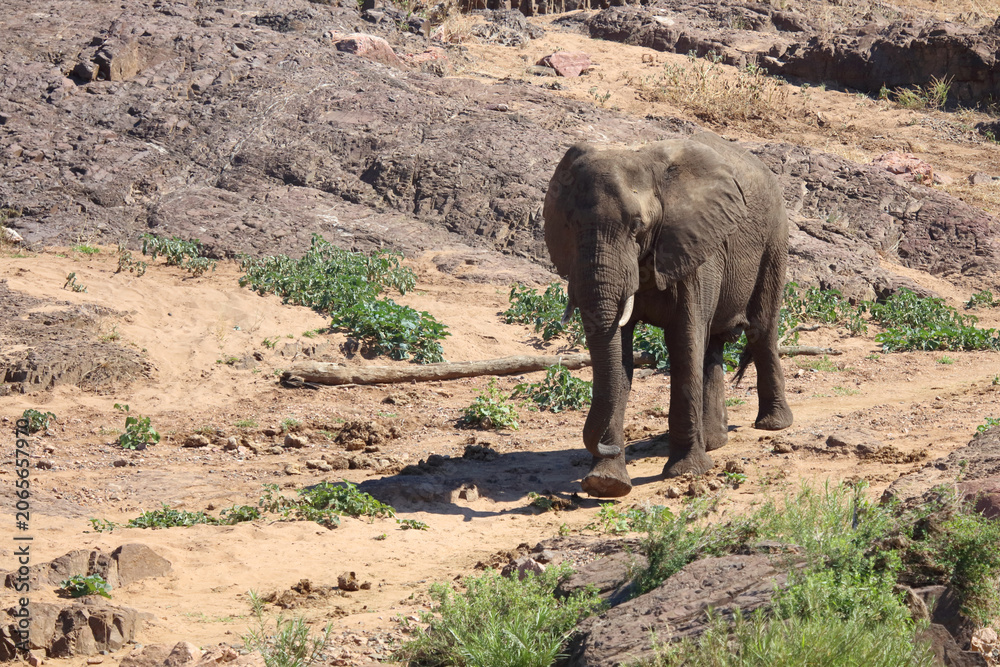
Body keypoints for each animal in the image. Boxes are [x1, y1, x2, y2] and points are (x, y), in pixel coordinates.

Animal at [543, 131, 793, 498]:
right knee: (713, 345)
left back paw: (773, 425)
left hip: (774, 238)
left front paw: (686, 472)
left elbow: (684, 341)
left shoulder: (695, 247)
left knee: (761, 330)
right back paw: (715, 442)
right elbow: (620, 357)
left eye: (637, 226)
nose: (610, 447)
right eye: (570, 225)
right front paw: (606, 483)